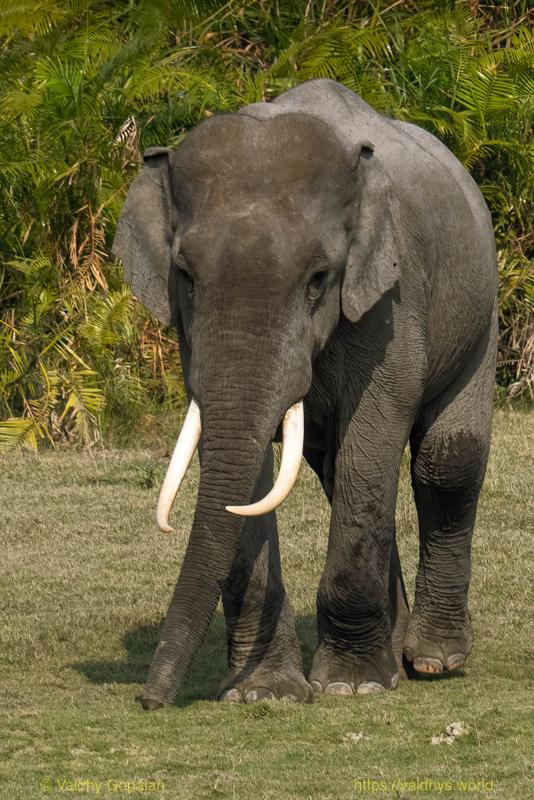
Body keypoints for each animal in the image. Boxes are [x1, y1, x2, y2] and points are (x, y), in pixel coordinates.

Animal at [113, 78, 497, 710]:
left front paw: (351, 685)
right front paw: (265, 694)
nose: (149, 701)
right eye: (185, 275)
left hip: (479, 312)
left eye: (319, 279)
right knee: (337, 472)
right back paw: (395, 653)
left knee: (445, 463)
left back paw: (432, 660)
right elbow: (245, 470)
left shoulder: (390, 305)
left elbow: (375, 434)